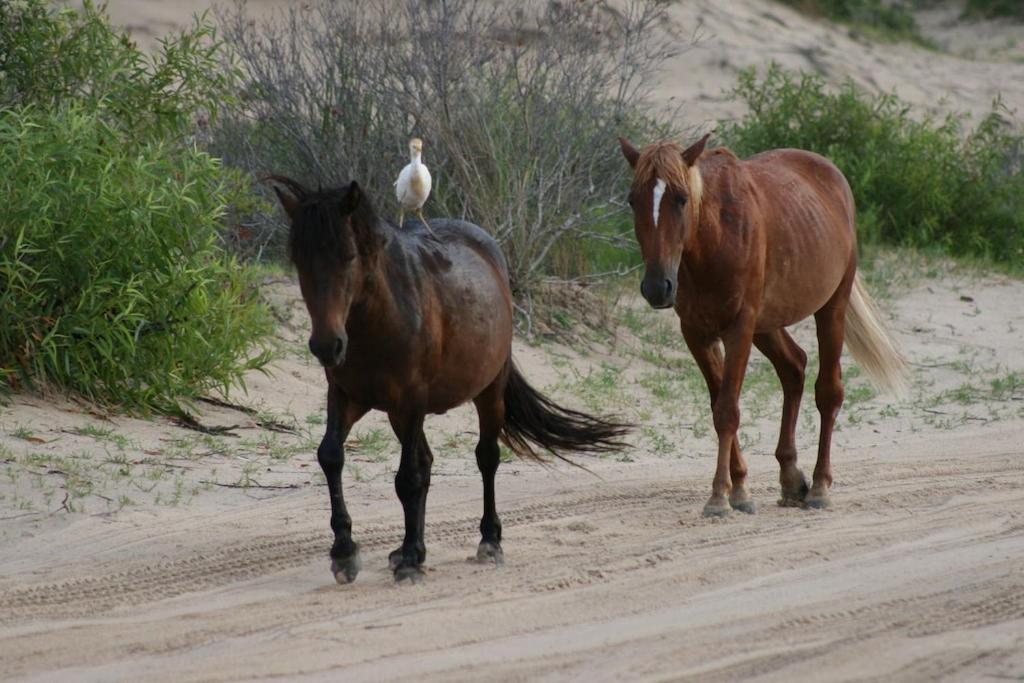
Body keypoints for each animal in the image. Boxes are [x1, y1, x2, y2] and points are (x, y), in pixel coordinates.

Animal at [268, 175, 626, 581]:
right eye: (299, 260)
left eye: (348, 256)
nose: (327, 346)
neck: (380, 318)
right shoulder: (347, 396)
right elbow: (331, 456)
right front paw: (346, 552)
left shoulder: (411, 401)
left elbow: (407, 478)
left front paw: (409, 560)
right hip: (398, 413)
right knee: (426, 461)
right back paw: (412, 547)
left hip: (488, 392)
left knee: (486, 458)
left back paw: (488, 541)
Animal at [614, 133, 905, 516]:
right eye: (633, 200)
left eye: (681, 198)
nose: (657, 287)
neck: (713, 239)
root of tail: (832, 176)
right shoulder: (696, 334)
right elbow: (719, 405)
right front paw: (738, 486)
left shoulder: (739, 329)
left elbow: (727, 410)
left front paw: (721, 496)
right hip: (767, 325)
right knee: (794, 367)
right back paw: (791, 478)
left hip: (831, 309)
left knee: (828, 392)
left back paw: (819, 486)